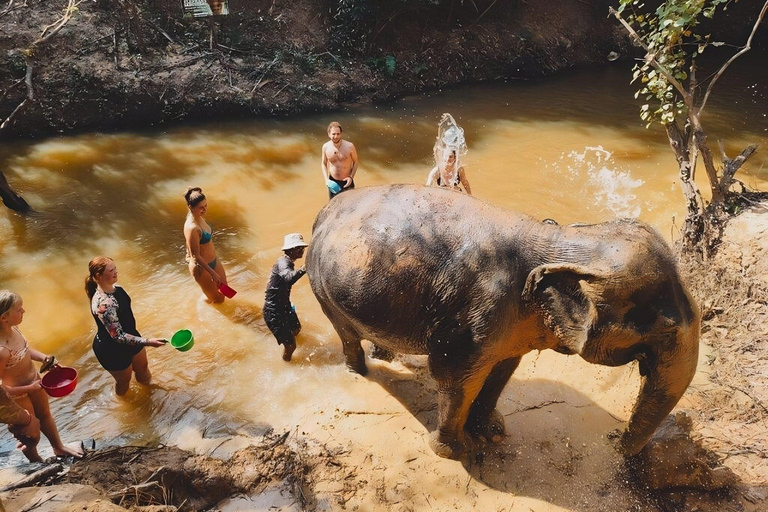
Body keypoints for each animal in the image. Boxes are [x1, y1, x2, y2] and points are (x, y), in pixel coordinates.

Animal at [306, 184, 704, 460]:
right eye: (667, 329)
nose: (614, 444)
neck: (558, 240)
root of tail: (323, 212)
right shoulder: (473, 317)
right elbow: (456, 376)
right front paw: (453, 451)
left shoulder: (514, 326)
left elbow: (503, 368)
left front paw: (492, 432)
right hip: (320, 287)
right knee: (345, 333)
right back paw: (359, 372)